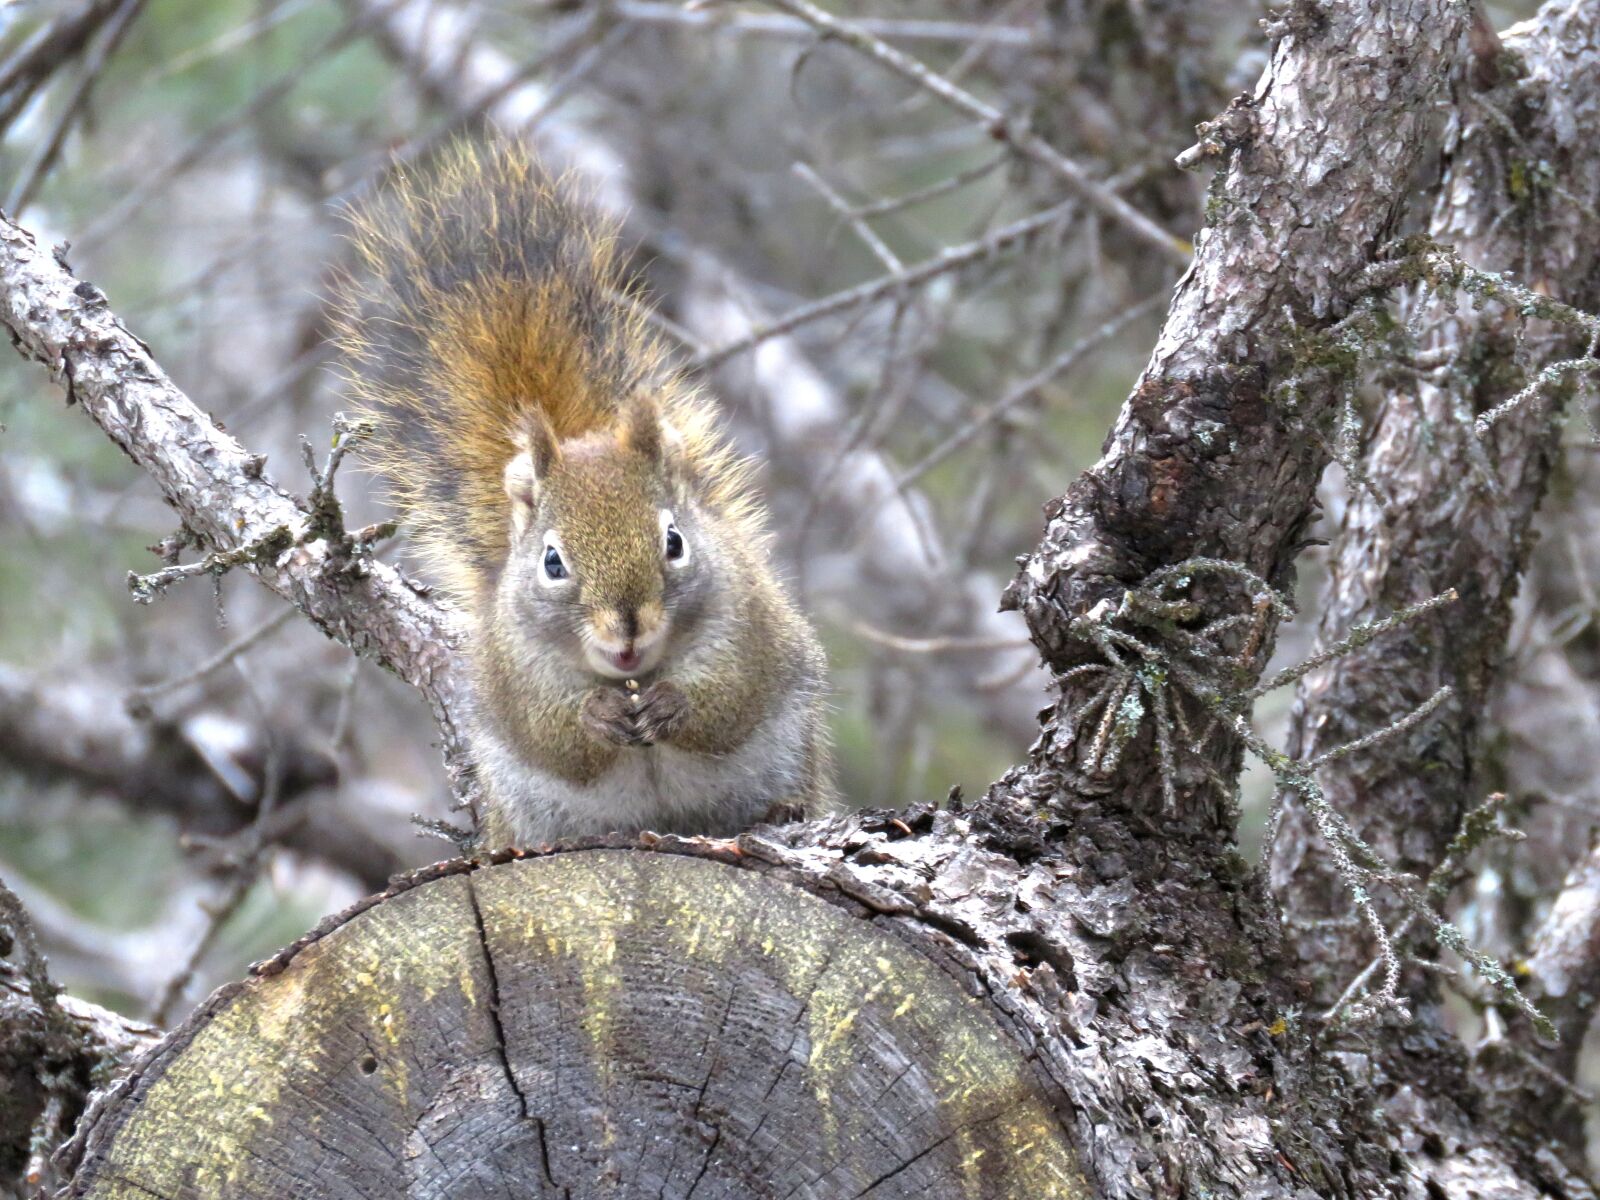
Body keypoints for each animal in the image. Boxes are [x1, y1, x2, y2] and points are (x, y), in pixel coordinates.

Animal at [331, 139, 834, 847]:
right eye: (552, 561)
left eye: (674, 541)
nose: (627, 632)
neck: (631, 675)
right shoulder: (515, 673)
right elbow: (556, 736)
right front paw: (596, 717)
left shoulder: (750, 627)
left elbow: (727, 701)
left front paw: (673, 704)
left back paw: (780, 810)